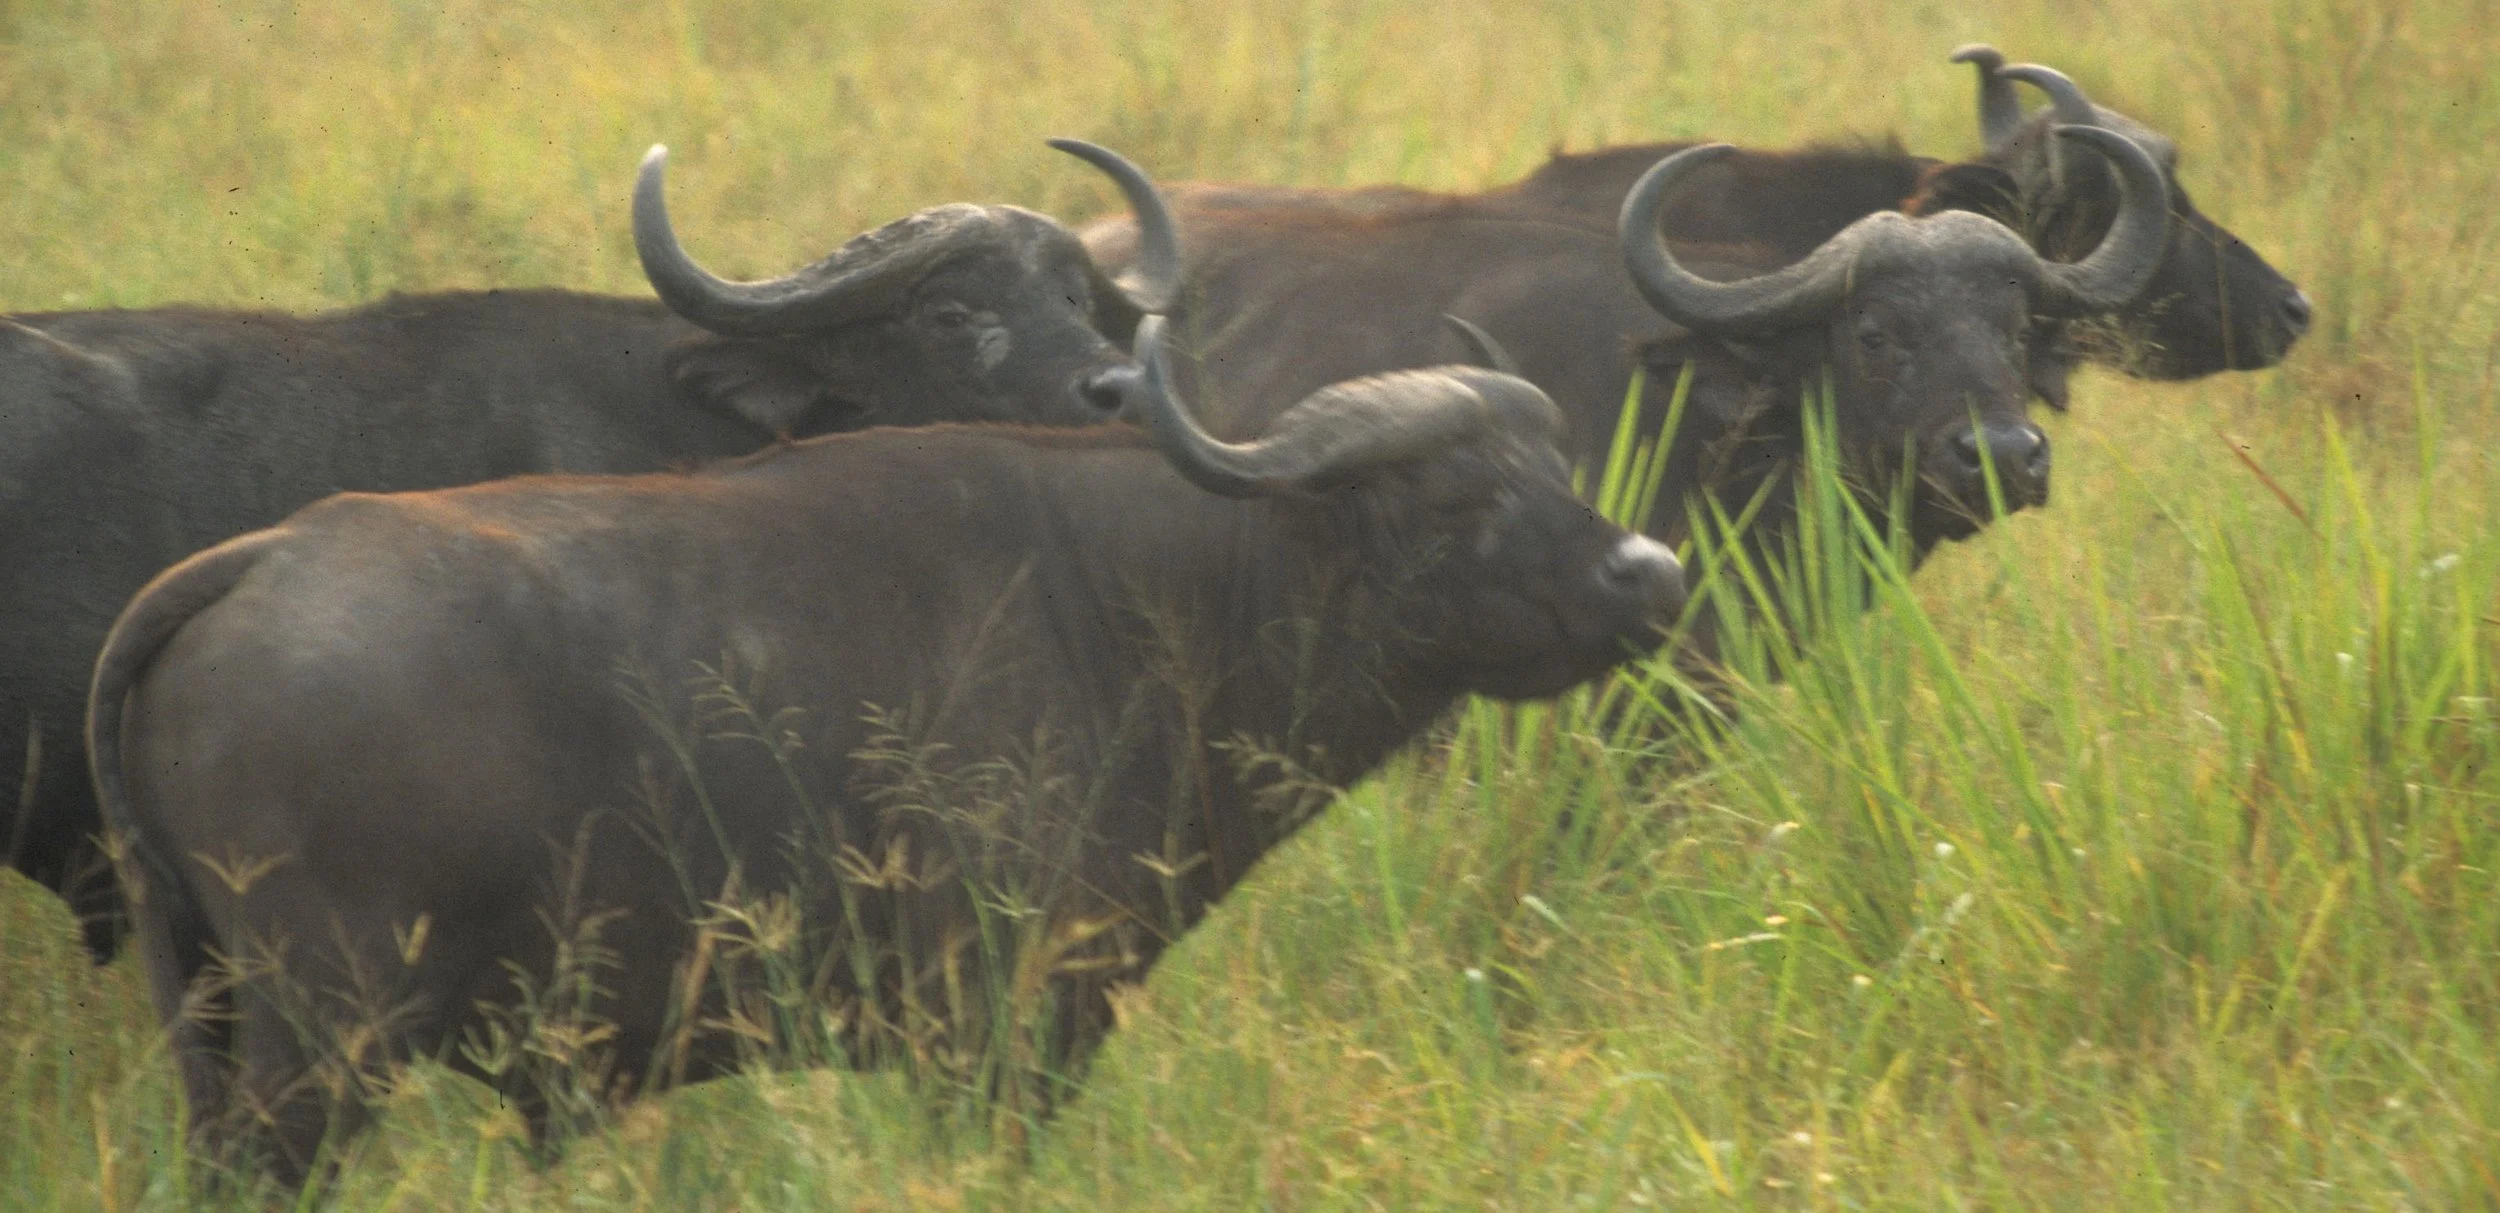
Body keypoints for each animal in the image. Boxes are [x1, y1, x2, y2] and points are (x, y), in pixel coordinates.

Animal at [88, 252, 1684, 1185]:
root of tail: (259, 563)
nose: (1652, 573)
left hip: (213, 1023)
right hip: (320, 1044)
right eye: (1456, 497)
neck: (1152, 601)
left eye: (1553, 462)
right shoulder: (994, 1029)